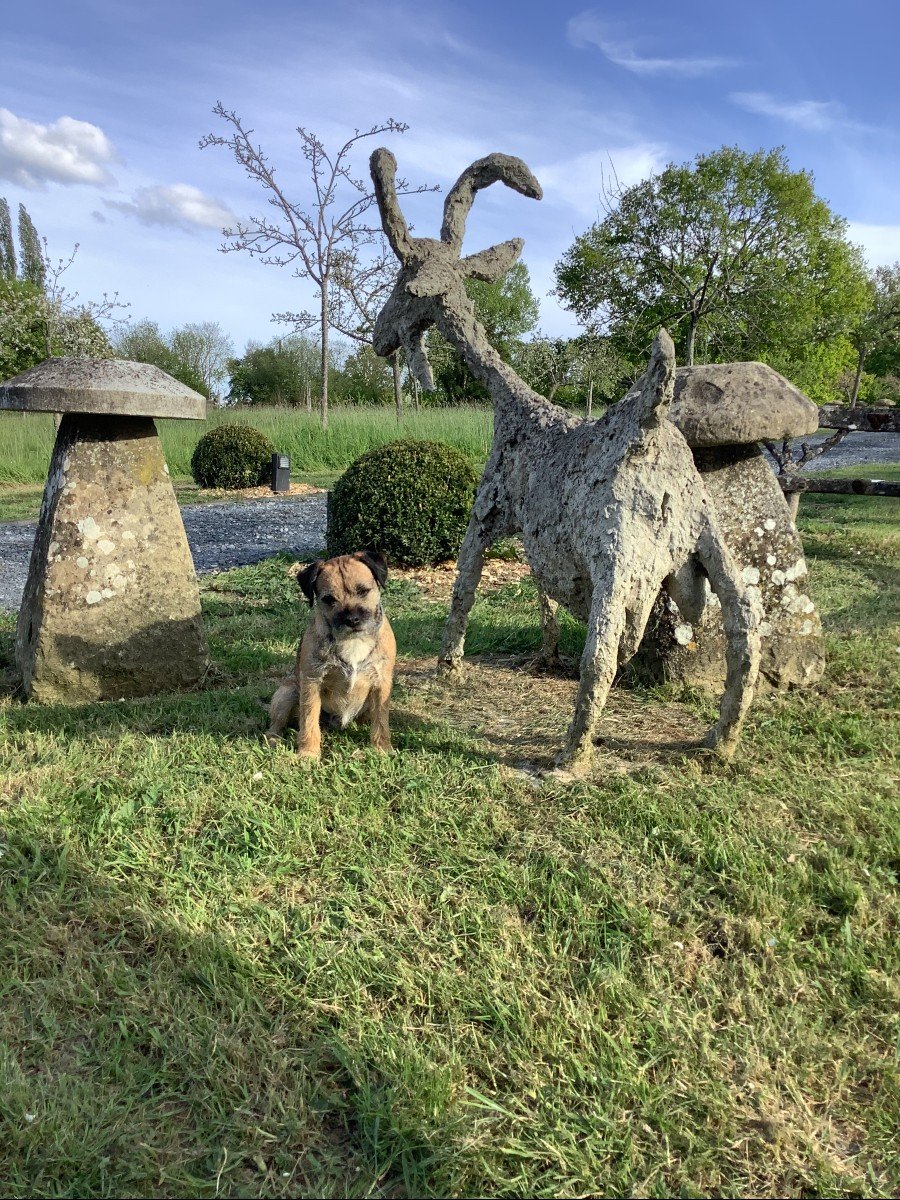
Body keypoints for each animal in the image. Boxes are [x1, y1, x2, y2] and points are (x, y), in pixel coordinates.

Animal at [264, 552, 398, 758]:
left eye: (363, 591)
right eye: (329, 599)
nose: (352, 619)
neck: (353, 640)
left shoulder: (381, 683)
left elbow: (381, 720)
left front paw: (382, 749)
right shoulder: (312, 682)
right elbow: (309, 720)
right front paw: (309, 753)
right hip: (286, 693)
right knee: (276, 725)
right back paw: (273, 740)